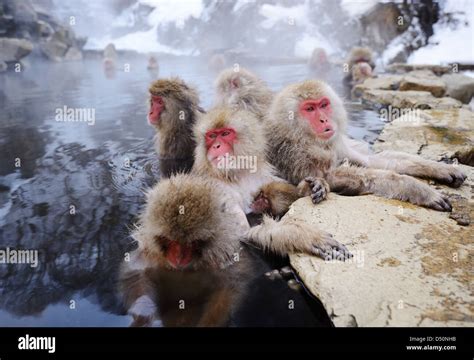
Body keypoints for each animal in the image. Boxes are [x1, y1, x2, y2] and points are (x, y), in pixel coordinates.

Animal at [191, 107, 350, 258]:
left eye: (225, 134)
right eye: (212, 136)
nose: (216, 146)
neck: (235, 175)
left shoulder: (263, 175)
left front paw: (313, 186)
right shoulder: (217, 188)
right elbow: (241, 234)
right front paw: (300, 235)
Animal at [266, 80, 466, 211]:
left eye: (323, 105)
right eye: (309, 109)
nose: (324, 120)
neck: (301, 136)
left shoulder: (336, 144)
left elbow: (370, 160)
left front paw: (441, 168)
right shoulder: (295, 154)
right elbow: (332, 177)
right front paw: (418, 189)